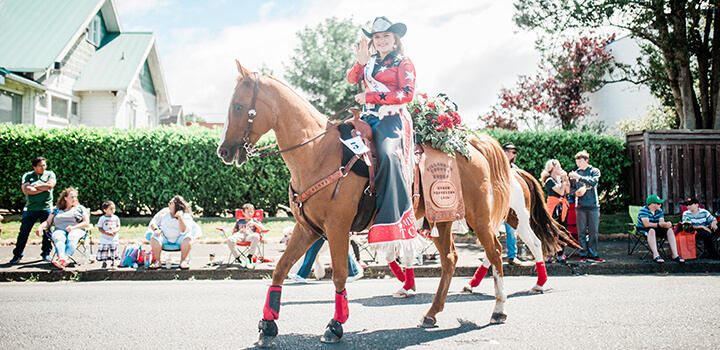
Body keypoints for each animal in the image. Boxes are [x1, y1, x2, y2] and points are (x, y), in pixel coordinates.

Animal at [218, 63, 512, 348]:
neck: (318, 152)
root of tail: (471, 145)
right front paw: (268, 326)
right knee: (450, 259)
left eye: (238, 107)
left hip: (479, 217)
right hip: (440, 219)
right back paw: (431, 313)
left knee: (495, 252)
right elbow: (280, 269)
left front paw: (335, 325)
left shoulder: (337, 228)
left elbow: (339, 274)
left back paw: (498, 309)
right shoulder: (308, 229)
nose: (223, 151)